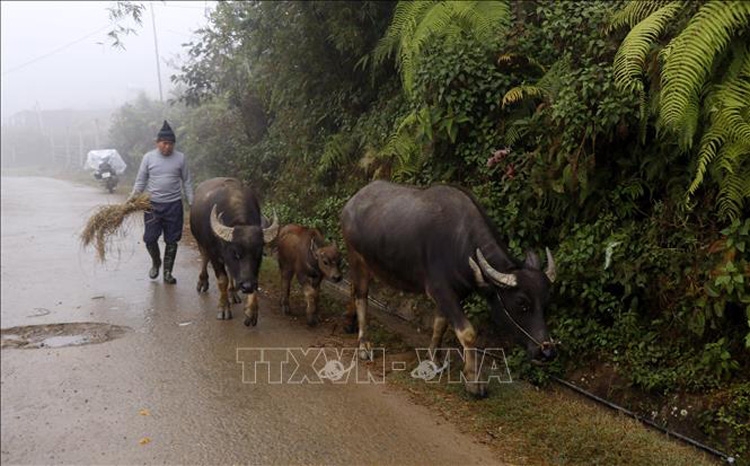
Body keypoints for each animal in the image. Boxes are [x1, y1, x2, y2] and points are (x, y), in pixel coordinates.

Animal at [189, 177, 280, 326]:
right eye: (236, 253)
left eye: (258, 255)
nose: (247, 286)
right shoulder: (214, 254)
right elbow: (222, 279)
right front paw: (223, 308)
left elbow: (251, 277)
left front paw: (251, 311)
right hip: (200, 242)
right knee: (204, 258)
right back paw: (203, 282)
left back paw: (232, 292)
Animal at [342, 180, 560, 396]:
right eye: (522, 303)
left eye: (546, 304)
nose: (547, 351)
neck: (461, 243)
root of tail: (351, 203)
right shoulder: (440, 291)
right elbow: (468, 333)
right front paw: (473, 381)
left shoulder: (455, 294)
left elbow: (441, 324)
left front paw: (434, 359)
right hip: (356, 257)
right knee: (361, 295)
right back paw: (363, 344)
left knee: (352, 288)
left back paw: (349, 322)